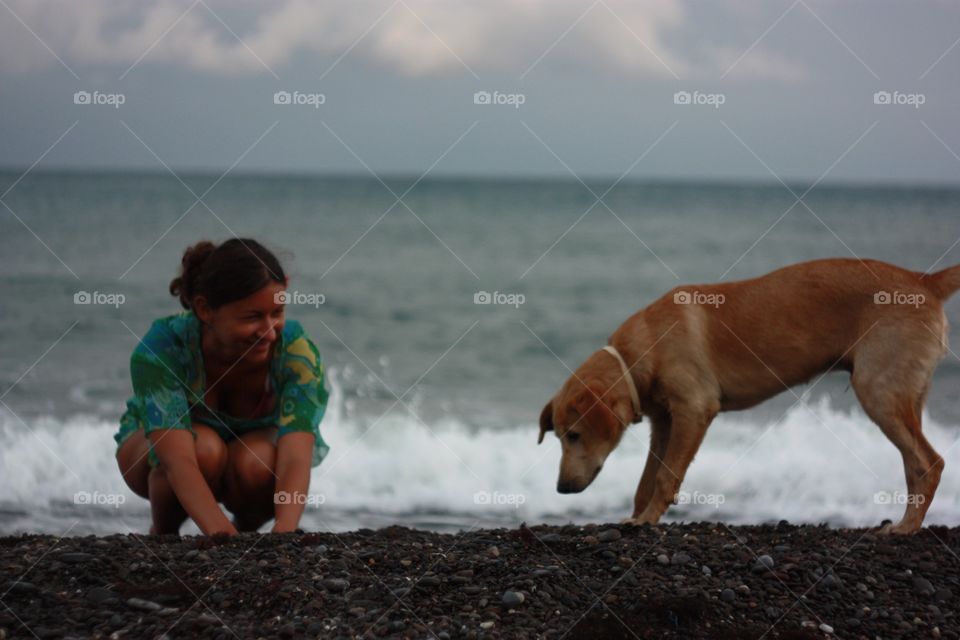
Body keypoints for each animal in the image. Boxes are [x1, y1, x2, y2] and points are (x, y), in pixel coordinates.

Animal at [540, 258, 960, 532]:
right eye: (558, 437)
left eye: (574, 435)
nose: (561, 488)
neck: (641, 352)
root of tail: (924, 281)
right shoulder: (664, 422)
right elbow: (646, 479)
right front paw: (636, 518)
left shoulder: (693, 410)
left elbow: (664, 476)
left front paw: (648, 520)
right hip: (904, 396)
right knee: (913, 463)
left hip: (878, 391)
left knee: (929, 462)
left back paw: (906, 527)